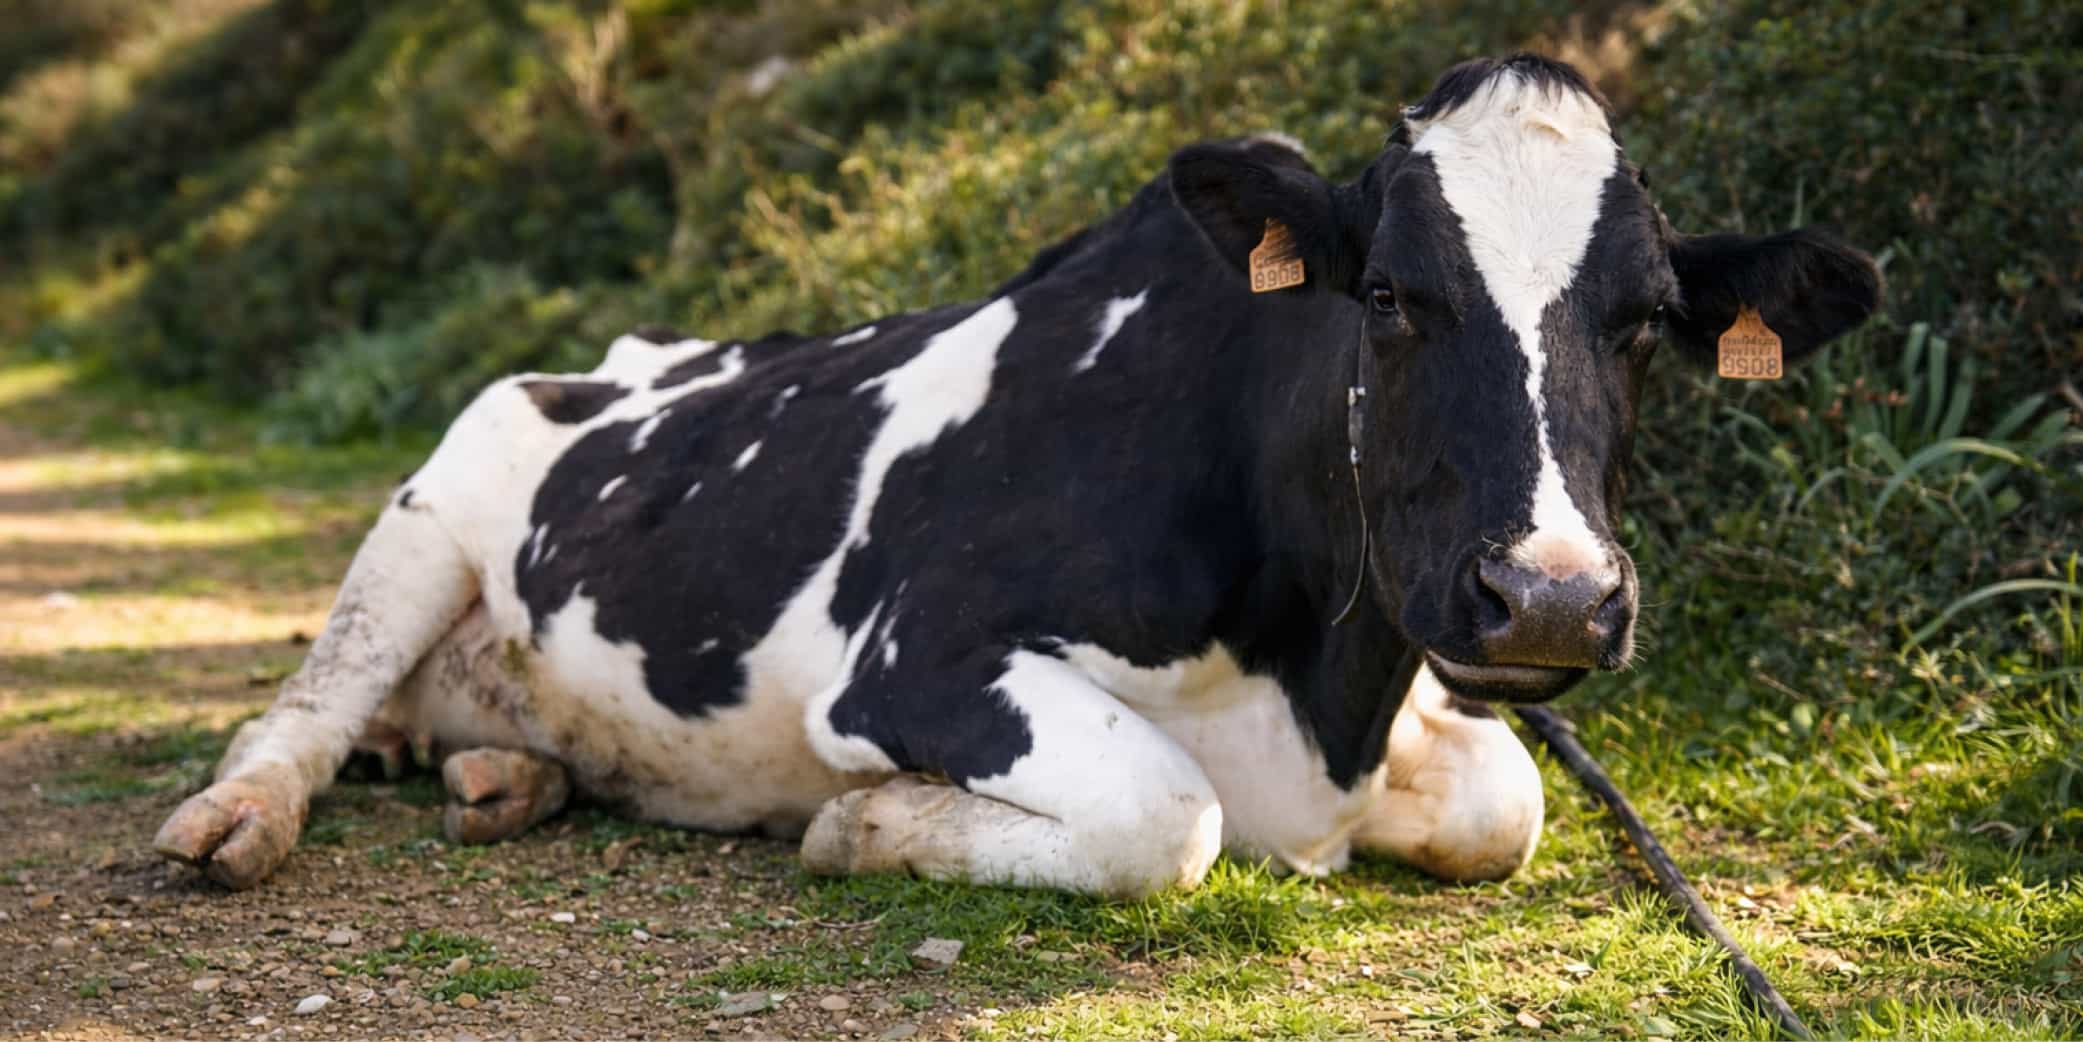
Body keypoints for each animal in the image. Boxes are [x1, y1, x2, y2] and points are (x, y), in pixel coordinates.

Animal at [154, 54, 1879, 898]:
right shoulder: (912, 656)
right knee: (302, 707)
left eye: (1646, 319)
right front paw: (862, 826)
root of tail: (633, 349)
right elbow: (1166, 814)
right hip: (441, 490)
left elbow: (1499, 801)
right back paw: (237, 819)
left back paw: (507, 777)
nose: (1548, 597)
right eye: (1386, 294)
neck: (1315, 696)